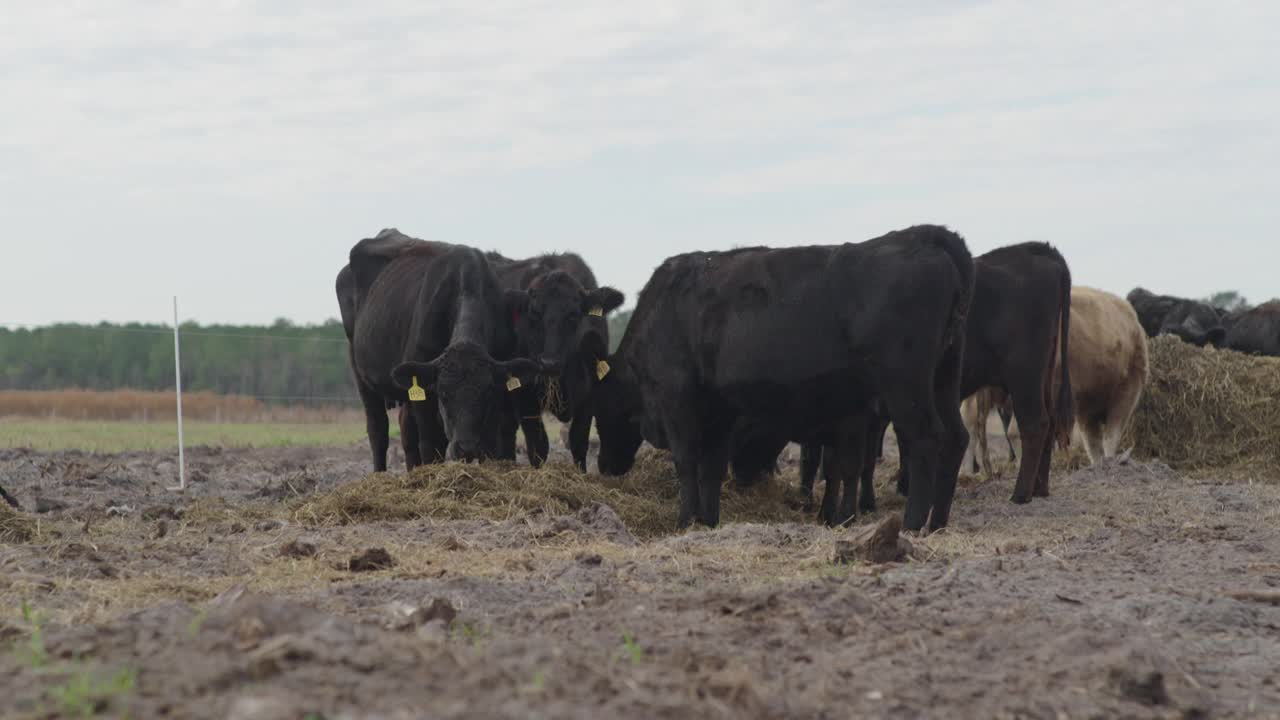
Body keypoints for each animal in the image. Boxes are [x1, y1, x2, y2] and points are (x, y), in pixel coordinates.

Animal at [343, 235, 537, 468]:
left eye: (487, 393)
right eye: (443, 394)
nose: (466, 448)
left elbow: (491, 443)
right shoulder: (425, 397)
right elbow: (430, 446)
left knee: (407, 431)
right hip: (360, 373)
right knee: (378, 431)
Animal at [593, 225, 972, 532]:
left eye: (601, 409)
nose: (605, 466)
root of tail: (920, 236)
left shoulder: (676, 398)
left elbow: (686, 462)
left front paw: (684, 522)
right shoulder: (720, 409)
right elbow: (711, 468)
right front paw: (708, 522)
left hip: (905, 385)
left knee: (925, 438)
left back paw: (912, 525)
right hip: (944, 377)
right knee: (956, 437)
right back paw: (937, 523)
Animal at [793, 243, 1075, 512]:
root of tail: (1038, 250)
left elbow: (855, 459)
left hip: (1023, 375)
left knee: (1035, 423)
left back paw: (1021, 494)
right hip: (1043, 376)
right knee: (1049, 422)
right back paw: (1040, 488)